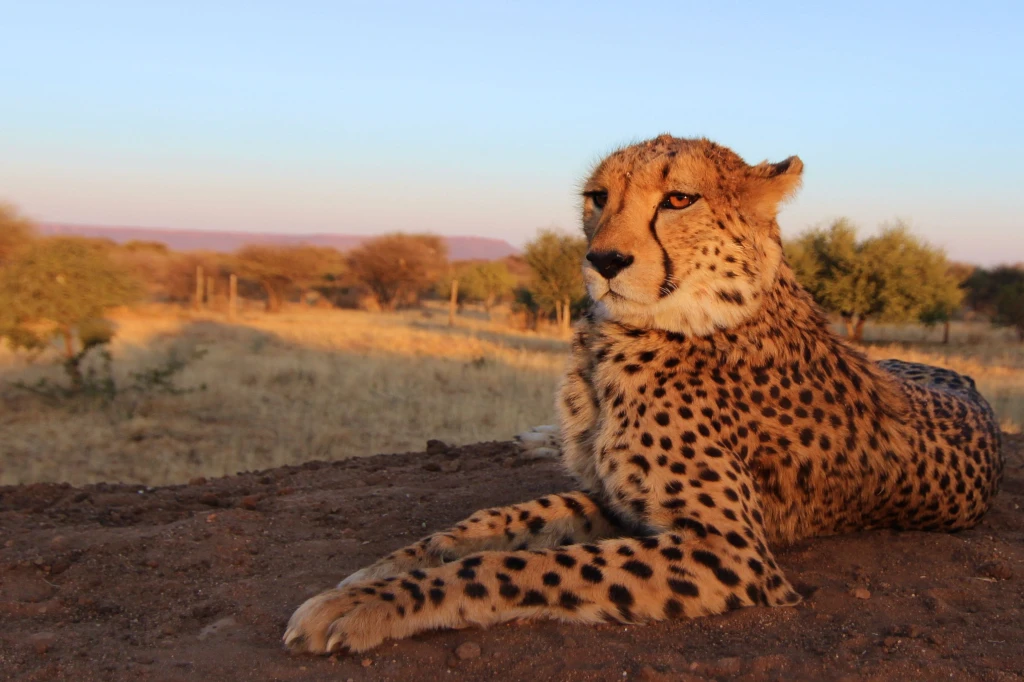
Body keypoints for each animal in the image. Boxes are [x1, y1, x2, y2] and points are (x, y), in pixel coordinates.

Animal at [284, 135, 1003, 655]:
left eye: (679, 199)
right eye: (597, 197)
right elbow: (502, 521)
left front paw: (367, 605)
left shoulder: (727, 551)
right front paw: (381, 570)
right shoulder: (617, 499)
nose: (603, 261)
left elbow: (520, 567)